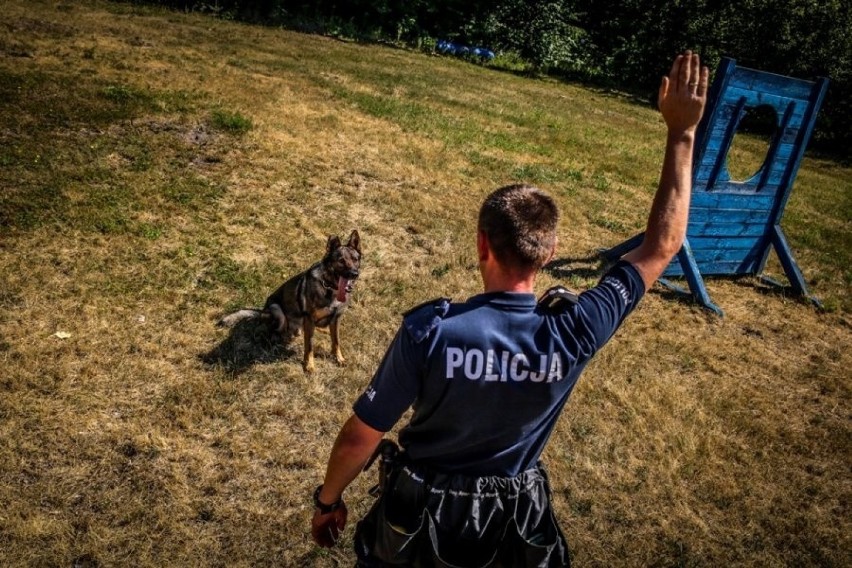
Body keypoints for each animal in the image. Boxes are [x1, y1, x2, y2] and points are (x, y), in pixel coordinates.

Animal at [218, 231, 362, 372]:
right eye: (341, 261)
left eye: (355, 259)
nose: (355, 274)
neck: (329, 287)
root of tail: (262, 311)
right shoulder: (309, 318)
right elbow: (309, 345)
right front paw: (309, 364)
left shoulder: (336, 318)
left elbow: (336, 341)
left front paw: (339, 358)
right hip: (277, 310)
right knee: (275, 331)